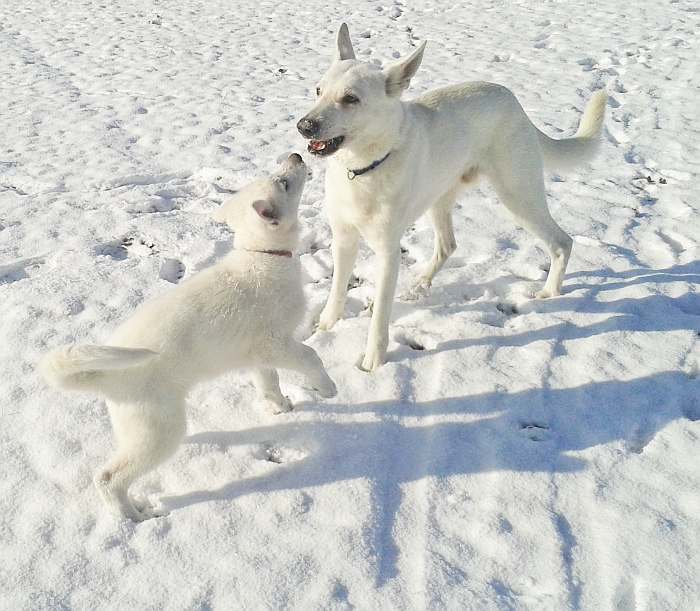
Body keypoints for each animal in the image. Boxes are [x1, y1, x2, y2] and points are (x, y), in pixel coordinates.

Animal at [40, 154, 336, 520]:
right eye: (283, 182)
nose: (295, 156)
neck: (261, 254)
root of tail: (104, 376)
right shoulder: (276, 342)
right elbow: (311, 356)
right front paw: (328, 388)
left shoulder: (258, 354)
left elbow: (269, 383)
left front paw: (281, 407)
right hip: (158, 430)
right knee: (109, 478)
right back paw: (132, 517)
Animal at [296, 23, 608, 370]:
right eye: (318, 91)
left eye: (351, 98)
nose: (304, 125)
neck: (363, 169)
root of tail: (516, 104)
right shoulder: (344, 238)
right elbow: (337, 290)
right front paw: (326, 326)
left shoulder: (388, 252)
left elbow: (379, 317)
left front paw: (373, 362)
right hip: (441, 199)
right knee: (448, 245)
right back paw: (420, 283)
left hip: (518, 197)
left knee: (562, 242)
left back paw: (550, 292)